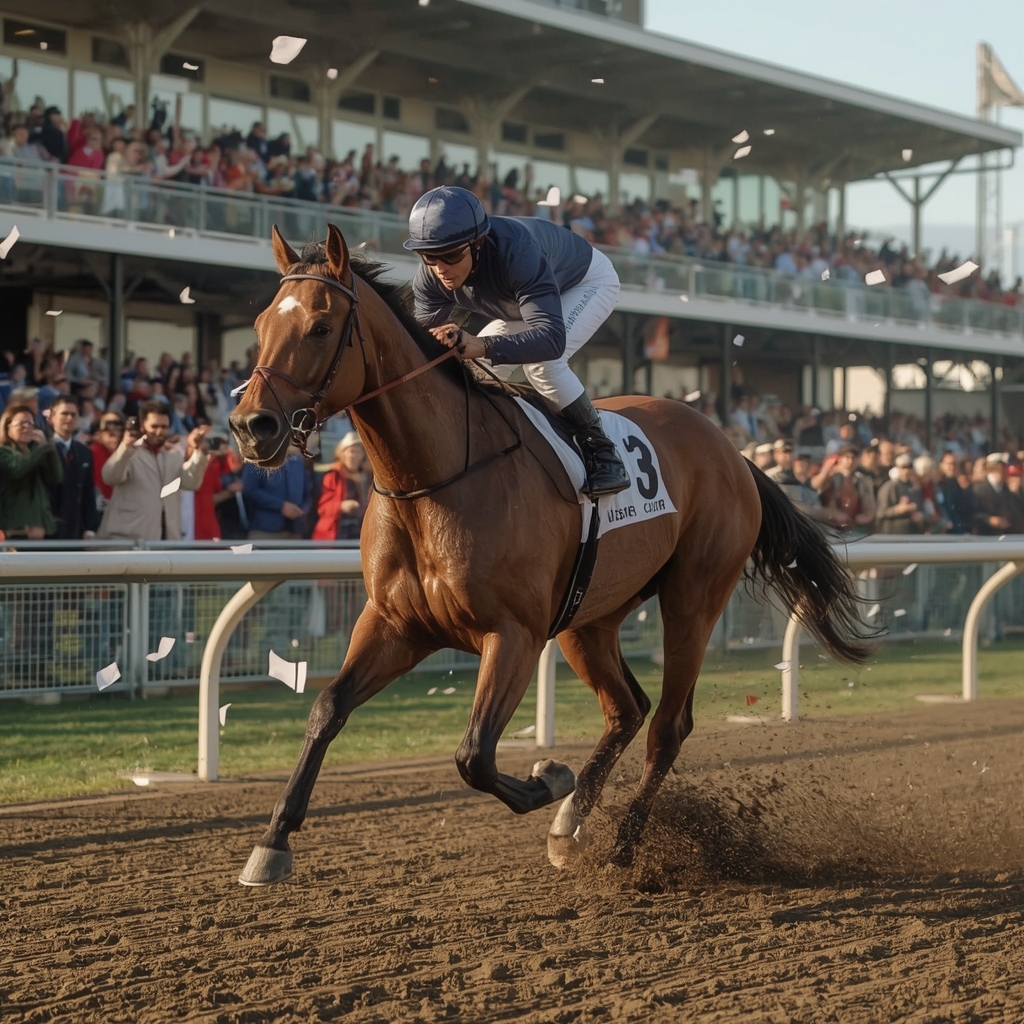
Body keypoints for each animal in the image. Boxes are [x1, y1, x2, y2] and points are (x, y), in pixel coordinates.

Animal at [229, 223, 874, 885]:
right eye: (260, 324)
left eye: (320, 327)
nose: (251, 426)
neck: (435, 479)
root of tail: (731, 449)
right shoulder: (395, 624)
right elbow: (326, 708)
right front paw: (272, 843)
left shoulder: (512, 634)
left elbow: (474, 756)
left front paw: (550, 777)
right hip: (589, 617)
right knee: (628, 708)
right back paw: (572, 823)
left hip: (693, 598)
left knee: (667, 725)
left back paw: (621, 845)